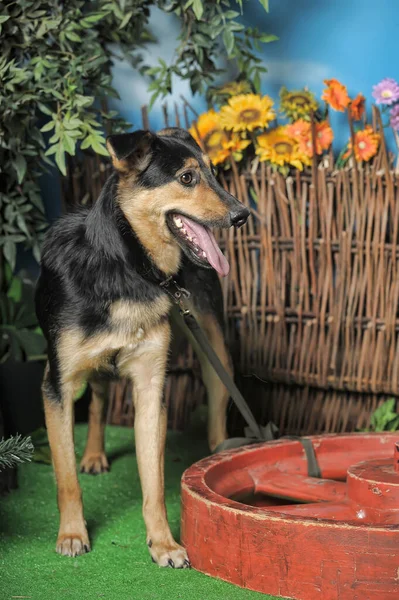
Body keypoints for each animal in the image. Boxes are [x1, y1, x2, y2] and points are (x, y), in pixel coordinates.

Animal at [36, 126, 250, 568]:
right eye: (187, 178)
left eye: (213, 173)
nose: (243, 215)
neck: (125, 265)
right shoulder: (57, 385)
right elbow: (65, 476)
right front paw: (72, 534)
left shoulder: (152, 387)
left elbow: (153, 481)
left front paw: (163, 543)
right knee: (99, 399)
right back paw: (93, 455)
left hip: (214, 347)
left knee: (217, 403)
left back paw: (216, 454)